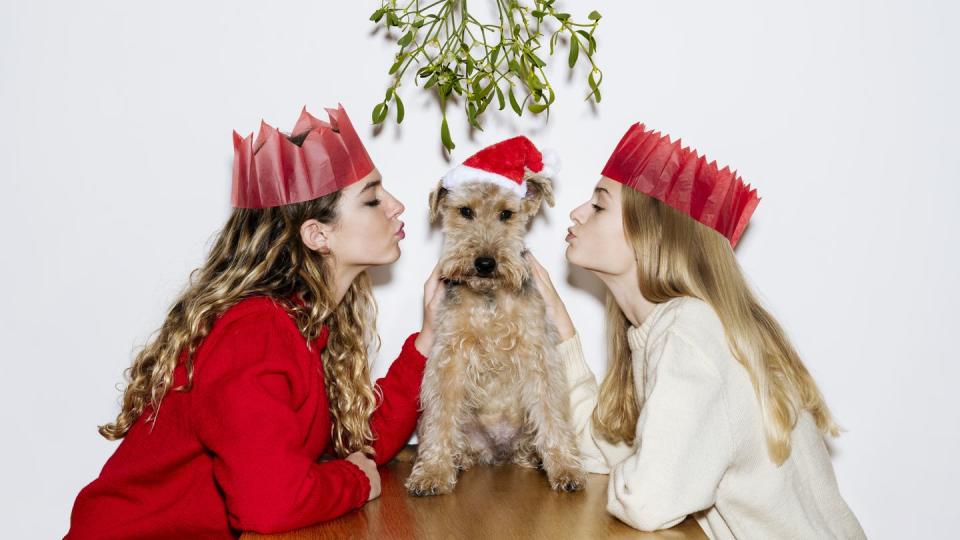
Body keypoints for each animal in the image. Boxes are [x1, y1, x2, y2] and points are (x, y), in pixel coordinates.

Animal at [404, 174, 584, 498]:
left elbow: (551, 414)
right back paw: (457, 459)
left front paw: (565, 468)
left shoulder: (537, 352)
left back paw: (535, 458)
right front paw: (433, 472)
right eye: (465, 211)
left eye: (506, 214)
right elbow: (441, 416)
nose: (485, 263)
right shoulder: (450, 355)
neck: (489, 297)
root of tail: (498, 450)